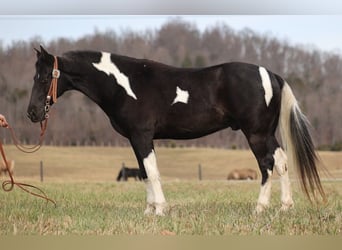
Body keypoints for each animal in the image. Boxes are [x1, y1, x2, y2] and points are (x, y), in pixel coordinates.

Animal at [26, 45, 326, 215]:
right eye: (35, 75)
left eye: (44, 76)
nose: (32, 113)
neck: (125, 84)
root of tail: (270, 74)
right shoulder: (135, 139)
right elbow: (144, 173)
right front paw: (149, 210)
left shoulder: (142, 136)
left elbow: (153, 172)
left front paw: (160, 209)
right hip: (266, 134)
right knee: (282, 162)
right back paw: (285, 207)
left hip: (256, 134)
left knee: (267, 165)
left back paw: (260, 208)